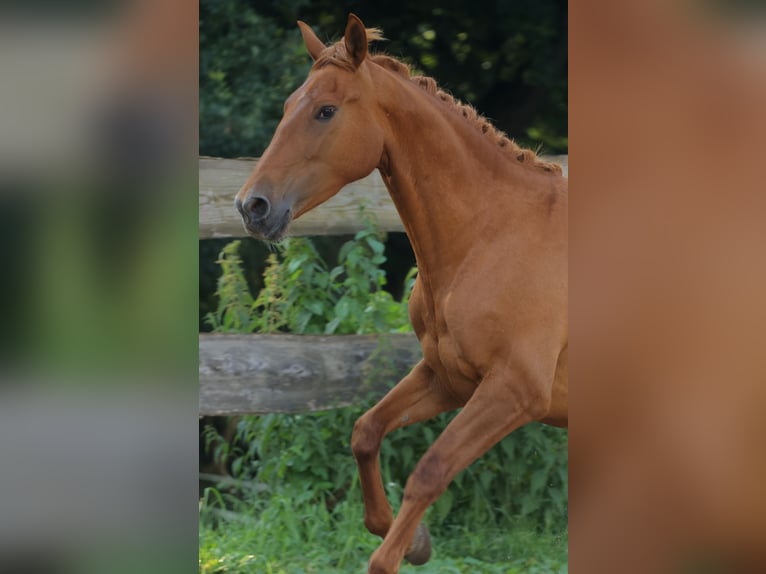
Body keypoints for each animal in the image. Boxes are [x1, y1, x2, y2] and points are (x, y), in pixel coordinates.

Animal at [237, 13, 568, 574]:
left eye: (325, 110)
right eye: (286, 106)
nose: (251, 206)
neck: (492, 236)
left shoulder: (514, 391)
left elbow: (430, 471)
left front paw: (395, 551)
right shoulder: (448, 378)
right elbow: (365, 432)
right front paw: (413, 541)